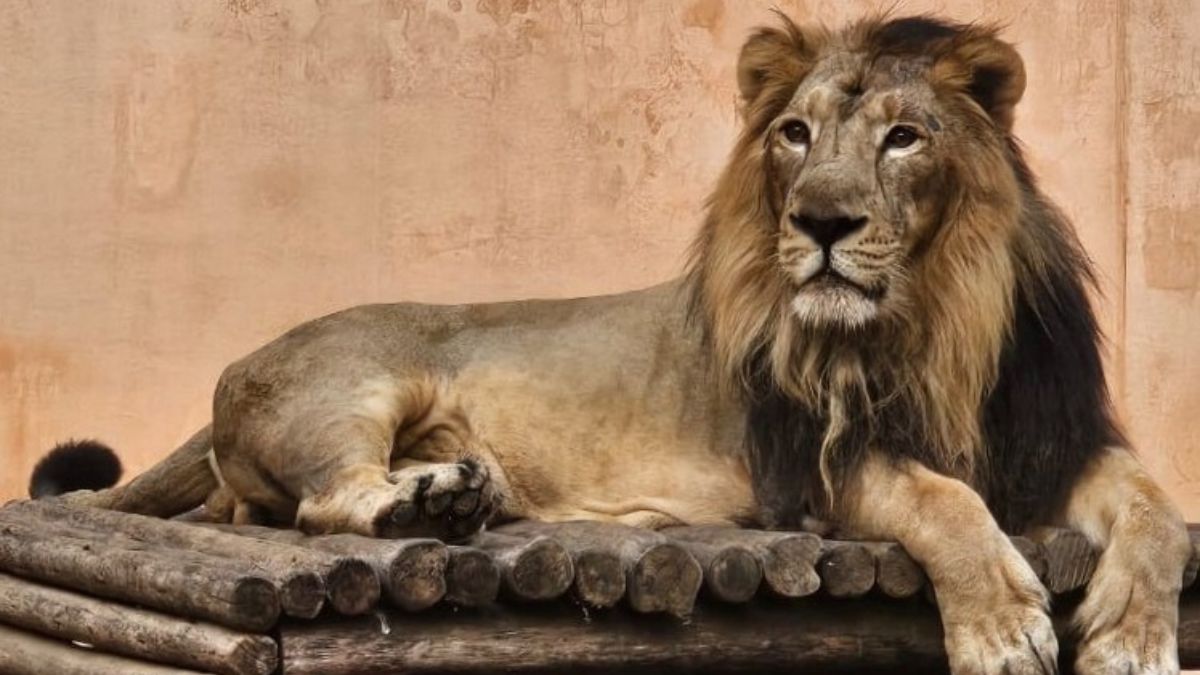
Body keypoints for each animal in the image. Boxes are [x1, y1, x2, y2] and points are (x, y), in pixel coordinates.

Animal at [31, 13, 1190, 675]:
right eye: (795, 134)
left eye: (903, 137)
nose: (819, 221)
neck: (934, 315)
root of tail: (237, 363)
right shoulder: (806, 466)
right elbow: (941, 500)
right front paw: (1001, 628)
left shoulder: (1055, 437)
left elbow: (1156, 510)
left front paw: (1134, 635)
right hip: (351, 387)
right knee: (320, 503)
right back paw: (430, 506)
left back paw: (461, 492)